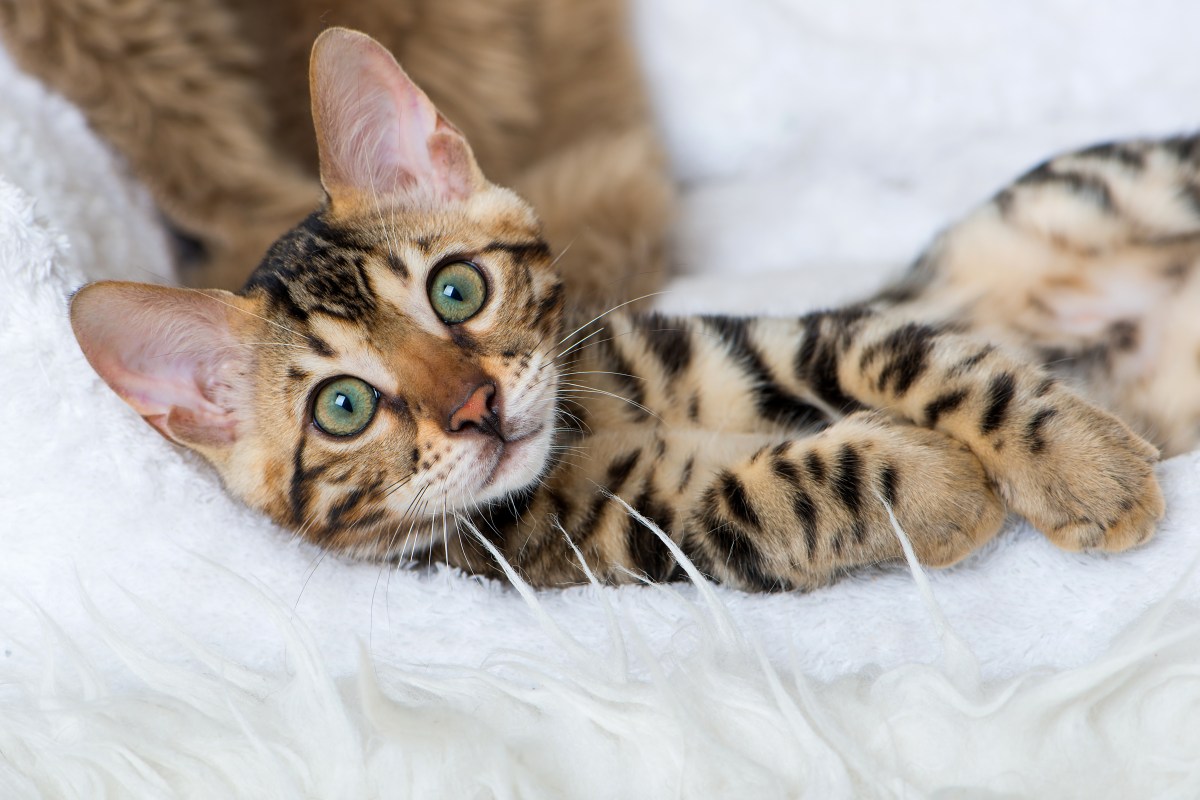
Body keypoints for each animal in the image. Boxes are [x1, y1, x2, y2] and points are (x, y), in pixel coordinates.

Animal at [68, 28, 1171, 592]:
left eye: (456, 288)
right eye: (343, 406)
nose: (474, 407)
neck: (589, 421)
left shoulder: (770, 337)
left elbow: (924, 359)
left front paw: (1084, 465)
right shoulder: (621, 536)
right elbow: (787, 488)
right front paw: (938, 487)